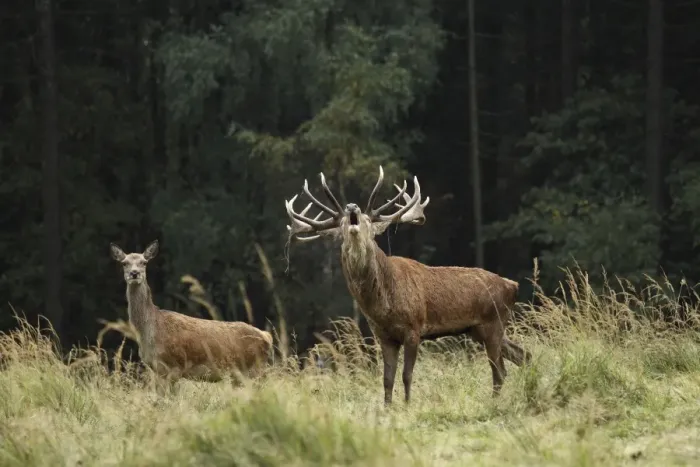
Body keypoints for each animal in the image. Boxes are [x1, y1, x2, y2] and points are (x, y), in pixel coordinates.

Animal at [109, 240, 274, 382]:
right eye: (124, 263)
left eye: (144, 262)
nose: (134, 273)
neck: (151, 330)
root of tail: (266, 336)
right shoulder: (156, 369)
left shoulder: (175, 365)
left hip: (255, 370)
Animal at [284, 166, 531, 404]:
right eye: (343, 224)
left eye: (367, 221)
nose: (352, 207)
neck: (384, 305)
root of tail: (513, 286)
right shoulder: (384, 336)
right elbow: (387, 379)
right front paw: (387, 408)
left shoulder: (414, 328)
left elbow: (406, 375)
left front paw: (407, 405)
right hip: (479, 329)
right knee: (521, 355)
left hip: (493, 323)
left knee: (499, 371)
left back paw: (495, 402)